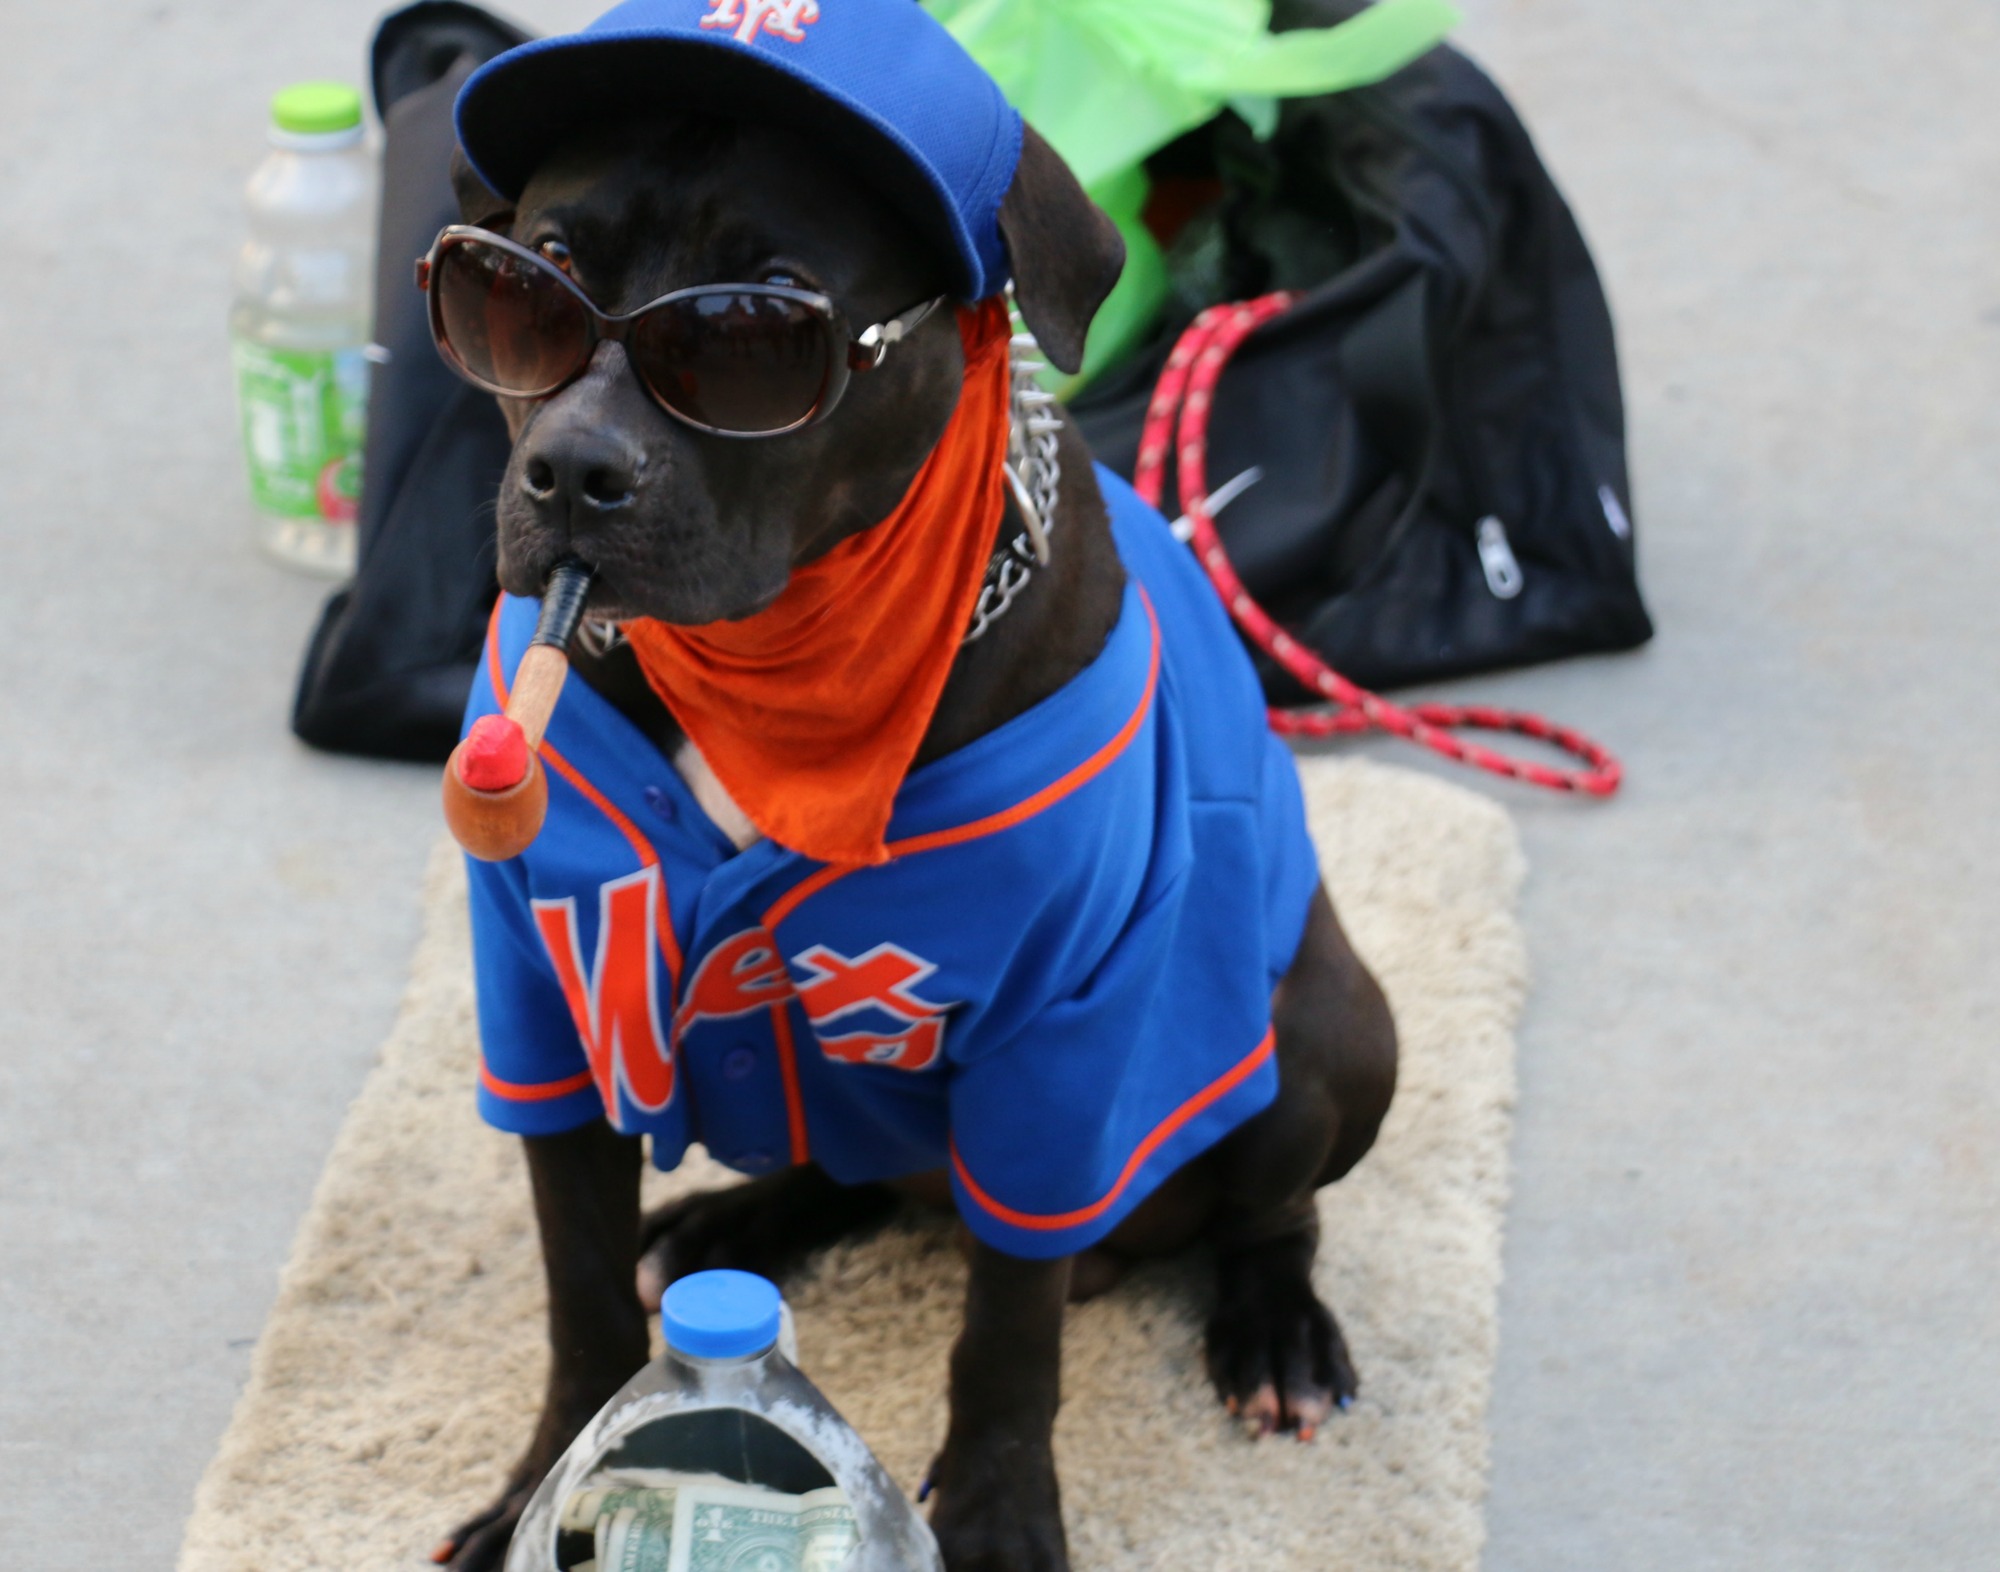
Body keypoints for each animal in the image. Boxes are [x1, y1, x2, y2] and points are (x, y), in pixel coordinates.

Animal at [436, 113, 1392, 1568]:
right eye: (534, 270)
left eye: (759, 317)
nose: (574, 472)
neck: (772, 667)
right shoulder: (552, 991)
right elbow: (579, 1287)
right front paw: (540, 1492)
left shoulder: (1061, 1045)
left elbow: (1006, 1337)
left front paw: (996, 1520)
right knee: (857, 1176)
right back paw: (730, 1225)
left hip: (1331, 1027)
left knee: (1273, 1212)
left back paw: (1274, 1330)